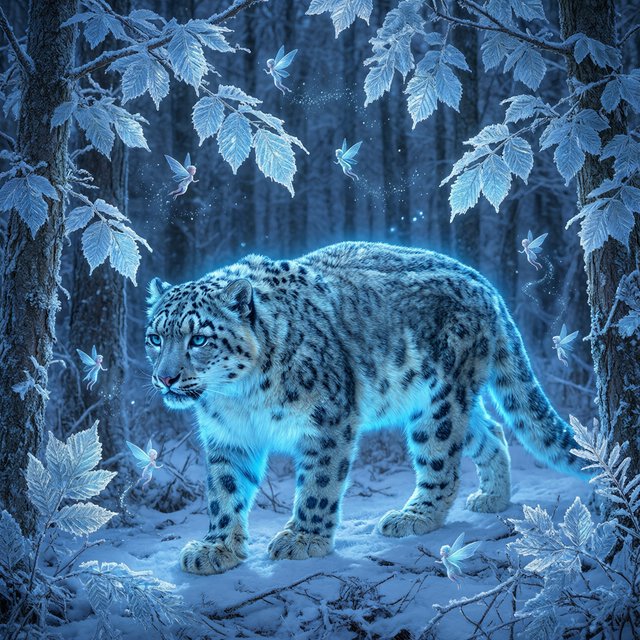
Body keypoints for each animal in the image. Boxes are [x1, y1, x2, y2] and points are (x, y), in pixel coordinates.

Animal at [145, 241, 585, 575]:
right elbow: (224, 492)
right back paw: (492, 497)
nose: (165, 378)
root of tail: (484, 283)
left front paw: (304, 538)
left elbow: (319, 483)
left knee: (441, 461)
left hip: (438, 402)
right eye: (155, 337)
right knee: (491, 432)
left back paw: (413, 517)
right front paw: (215, 548)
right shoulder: (227, 437)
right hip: (447, 401)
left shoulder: (326, 420)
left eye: (199, 339)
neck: (239, 397)